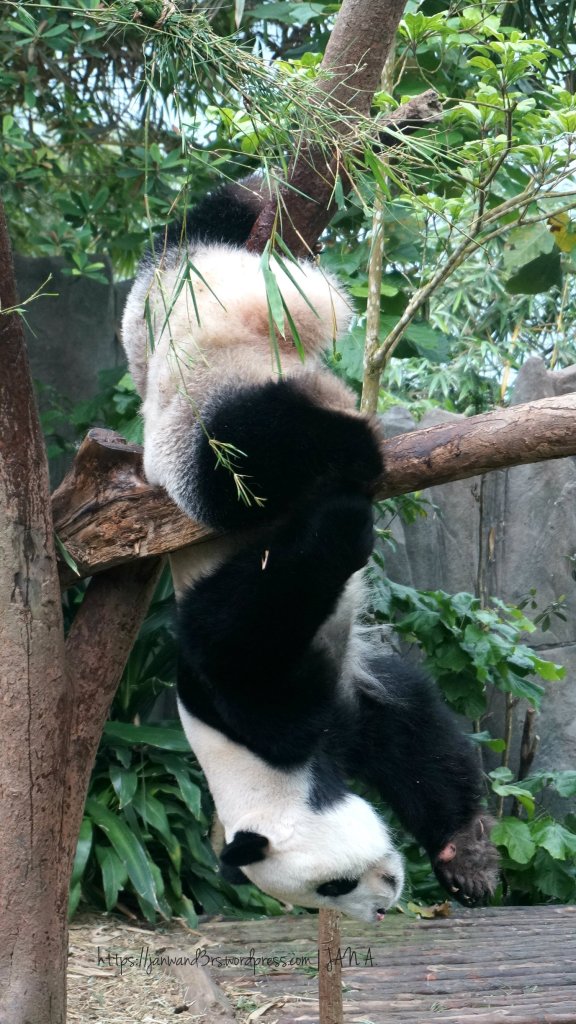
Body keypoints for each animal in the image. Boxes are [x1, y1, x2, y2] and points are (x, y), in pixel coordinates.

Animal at [121, 177, 499, 923]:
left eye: (334, 885)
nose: (381, 904)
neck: (257, 769)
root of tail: (172, 279)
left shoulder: (250, 693)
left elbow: (239, 628)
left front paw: (346, 523)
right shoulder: (343, 715)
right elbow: (408, 729)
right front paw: (464, 855)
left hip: (201, 396)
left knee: (250, 447)